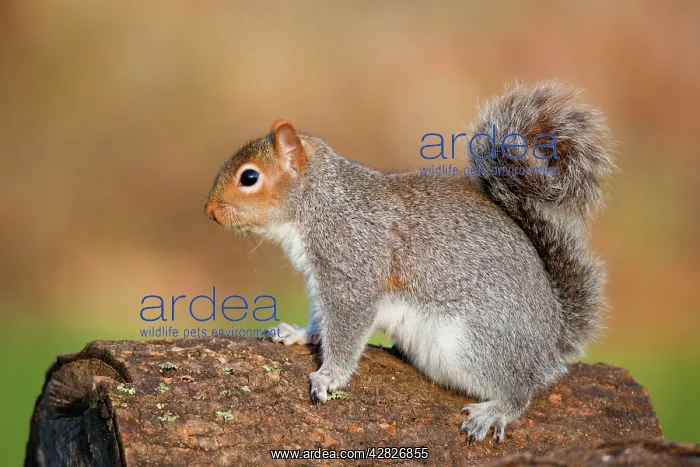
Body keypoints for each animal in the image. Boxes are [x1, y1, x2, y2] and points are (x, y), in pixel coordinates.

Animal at [204, 81, 615, 443]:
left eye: (250, 177)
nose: (209, 212)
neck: (321, 203)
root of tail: (550, 343)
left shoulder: (354, 269)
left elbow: (346, 331)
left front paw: (329, 377)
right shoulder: (323, 282)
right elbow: (322, 322)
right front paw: (298, 334)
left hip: (477, 345)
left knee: (521, 391)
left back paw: (495, 411)